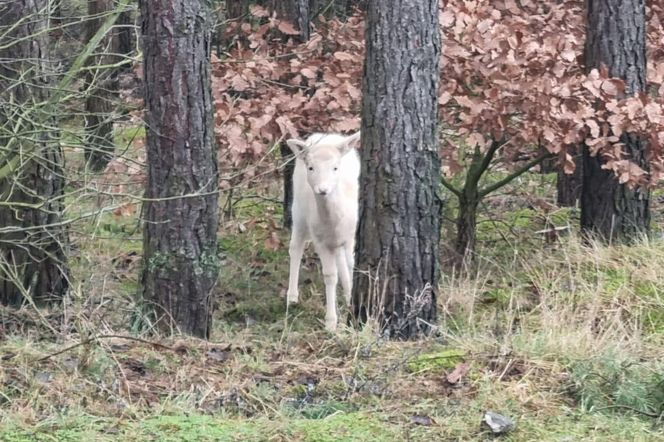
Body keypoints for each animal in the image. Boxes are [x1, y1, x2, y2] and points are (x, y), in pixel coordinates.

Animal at [284, 131, 360, 332]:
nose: (323, 189)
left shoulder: (351, 235)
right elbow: (330, 275)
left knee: (341, 259)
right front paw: (330, 322)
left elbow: (352, 264)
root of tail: (323, 135)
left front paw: (350, 298)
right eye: (311, 167)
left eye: (335, 168)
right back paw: (292, 296)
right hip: (299, 212)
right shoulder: (320, 240)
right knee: (295, 248)